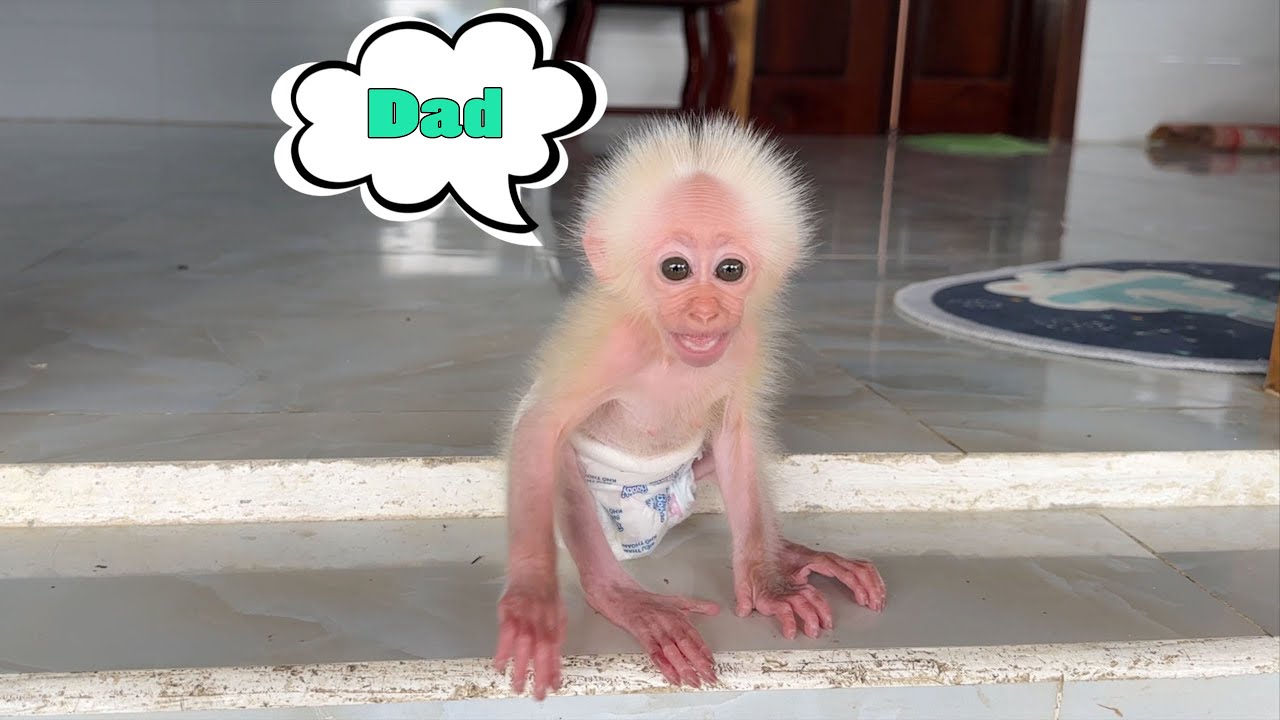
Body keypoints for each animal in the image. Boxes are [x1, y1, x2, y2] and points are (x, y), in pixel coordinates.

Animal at [492, 113, 886, 700]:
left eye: (729, 270)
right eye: (676, 269)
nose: (704, 312)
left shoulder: (744, 341)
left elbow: (738, 436)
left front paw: (768, 582)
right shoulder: (609, 342)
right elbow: (541, 426)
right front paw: (531, 602)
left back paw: (787, 553)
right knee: (557, 453)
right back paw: (617, 595)